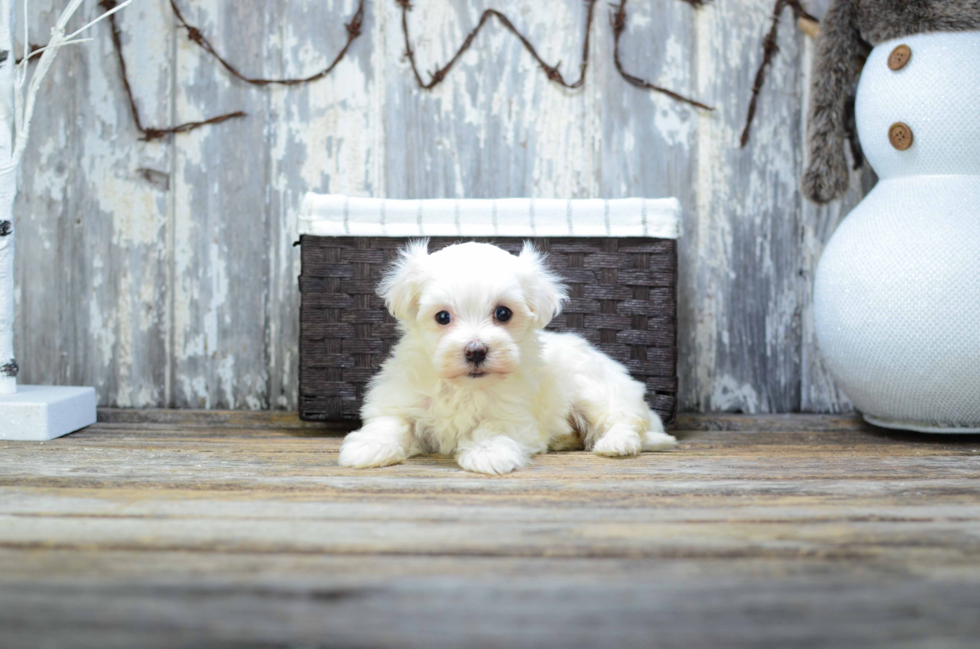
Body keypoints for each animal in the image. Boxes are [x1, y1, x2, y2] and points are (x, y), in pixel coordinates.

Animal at [336, 240, 672, 474]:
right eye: (442, 317)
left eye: (503, 313)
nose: (475, 350)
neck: (464, 387)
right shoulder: (402, 399)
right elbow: (390, 423)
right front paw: (368, 447)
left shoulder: (513, 413)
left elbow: (493, 427)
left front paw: (488, 452)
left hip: (594, 390)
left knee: (625, 420)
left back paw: (616, 443)